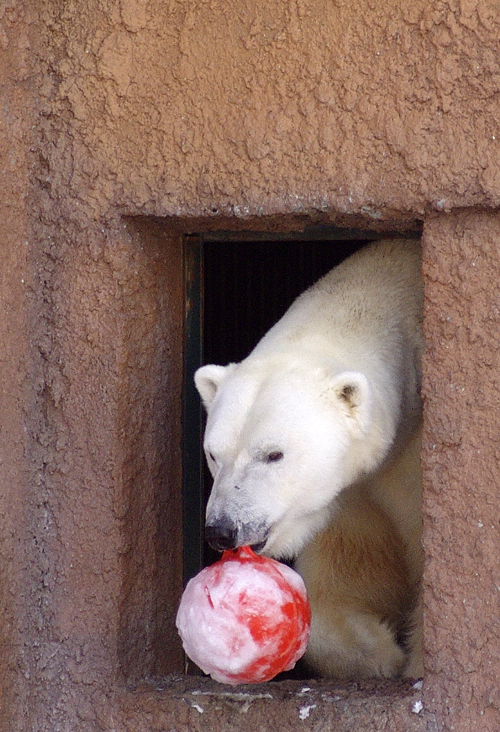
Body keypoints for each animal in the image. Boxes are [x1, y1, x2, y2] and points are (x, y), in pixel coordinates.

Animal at [194, 240, 422, 680]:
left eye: (273, 454)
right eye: (214, 454)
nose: (222, 529)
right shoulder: (351, 496)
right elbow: (348, 576)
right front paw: (380, 653)